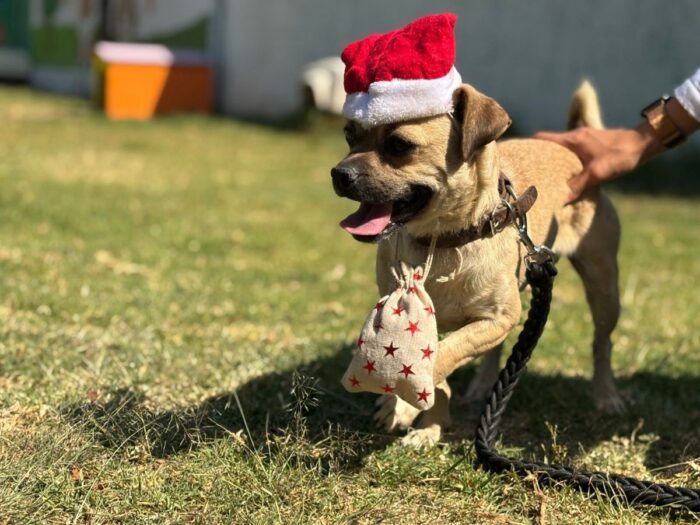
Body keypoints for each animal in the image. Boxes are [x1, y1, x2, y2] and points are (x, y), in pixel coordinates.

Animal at [331, 81, 622, 446]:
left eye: (400, 145)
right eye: (349, 136)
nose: (339, 174)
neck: (443, 239)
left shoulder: (495, 319)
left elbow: (440, 359)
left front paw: (405, 405)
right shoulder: (439, 324)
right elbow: (436, 367)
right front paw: (425, 423)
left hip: (603, 288)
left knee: (602, 343)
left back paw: (606, 395)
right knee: (496, 351)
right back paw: (483, 385)